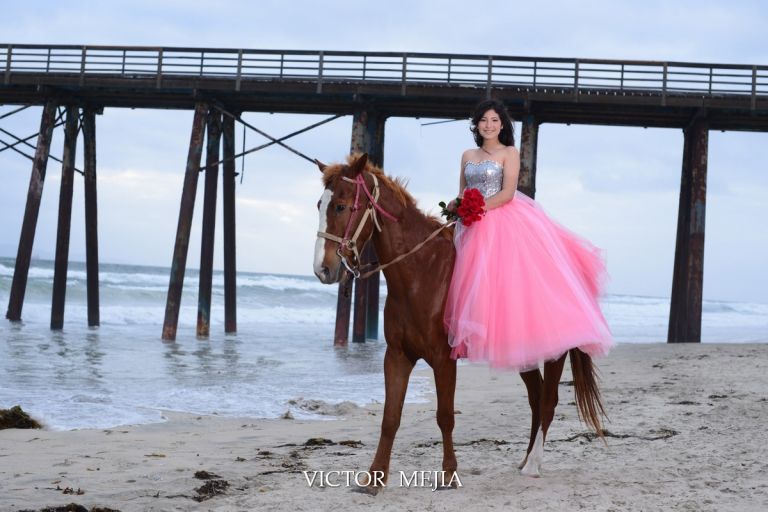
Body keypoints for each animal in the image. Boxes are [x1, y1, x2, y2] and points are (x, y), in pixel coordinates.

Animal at [312, 153, 608, 492]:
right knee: (536, 398)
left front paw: (449, 474)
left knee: (548, 401)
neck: (421, 274)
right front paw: (374, 478)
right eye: (319, 205)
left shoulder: (444, 359)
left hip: (554, 352)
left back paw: (533, 464)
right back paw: (525, 459)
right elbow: (390, 417)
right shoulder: (397, 356)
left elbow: (445, 416)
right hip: (523, 352)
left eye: (341, 206)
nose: (323, 270)